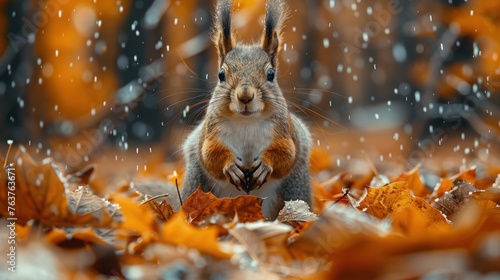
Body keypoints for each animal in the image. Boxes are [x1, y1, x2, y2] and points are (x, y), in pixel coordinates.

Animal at [182, 0, 310, 219]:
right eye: (221, 74)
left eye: (270, 74)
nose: (245, 96)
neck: (246, 121)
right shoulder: (210, 133)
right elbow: (210, 154)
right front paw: (230, 166)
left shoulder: (286, 133)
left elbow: (286, 154)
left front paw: (265, 165)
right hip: (196, 182)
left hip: (295, 188)